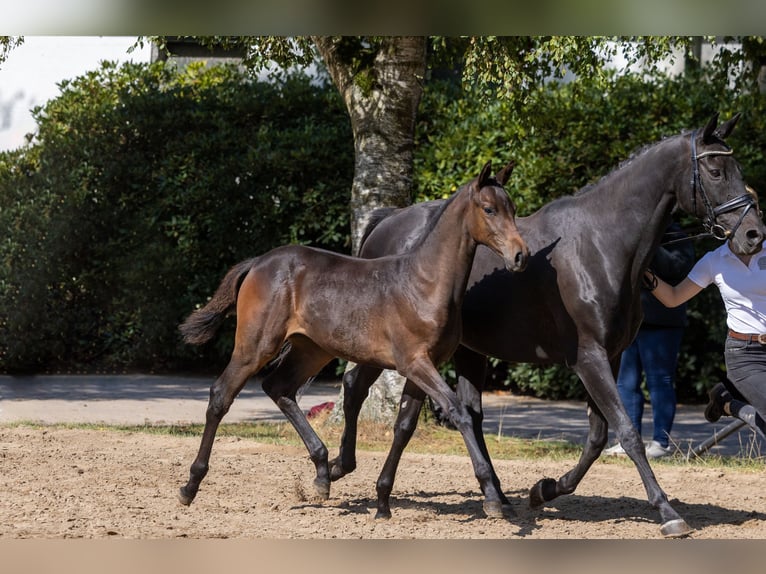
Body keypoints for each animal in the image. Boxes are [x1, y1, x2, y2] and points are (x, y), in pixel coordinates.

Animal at [177, 160, 532, 516]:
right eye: (489, 209)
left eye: (513, 209)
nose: (521, 256)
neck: (424, 284)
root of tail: (258, 263)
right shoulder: (415, 363)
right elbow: (459, 412)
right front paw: (491, 496)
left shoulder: (422, 368)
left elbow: (405, 425)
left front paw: (383, 501)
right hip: (256, 346)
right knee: (221, 395)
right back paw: (190, 485)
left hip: (312, 350)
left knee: (278, 387)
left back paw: (322, 473)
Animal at [332, 113, 764, 540]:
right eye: (715, 170)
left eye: (739, 169)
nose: (753, 234)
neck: (601, 243)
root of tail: (385, 224)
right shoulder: (589, 358)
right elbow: (627, 432)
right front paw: (667, 512)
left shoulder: (609, 356)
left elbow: (597, 437)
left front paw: (546, 489)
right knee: (356, 388)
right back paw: (338, 467)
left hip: (467, 351)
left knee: (462, 414)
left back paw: (495, 497)